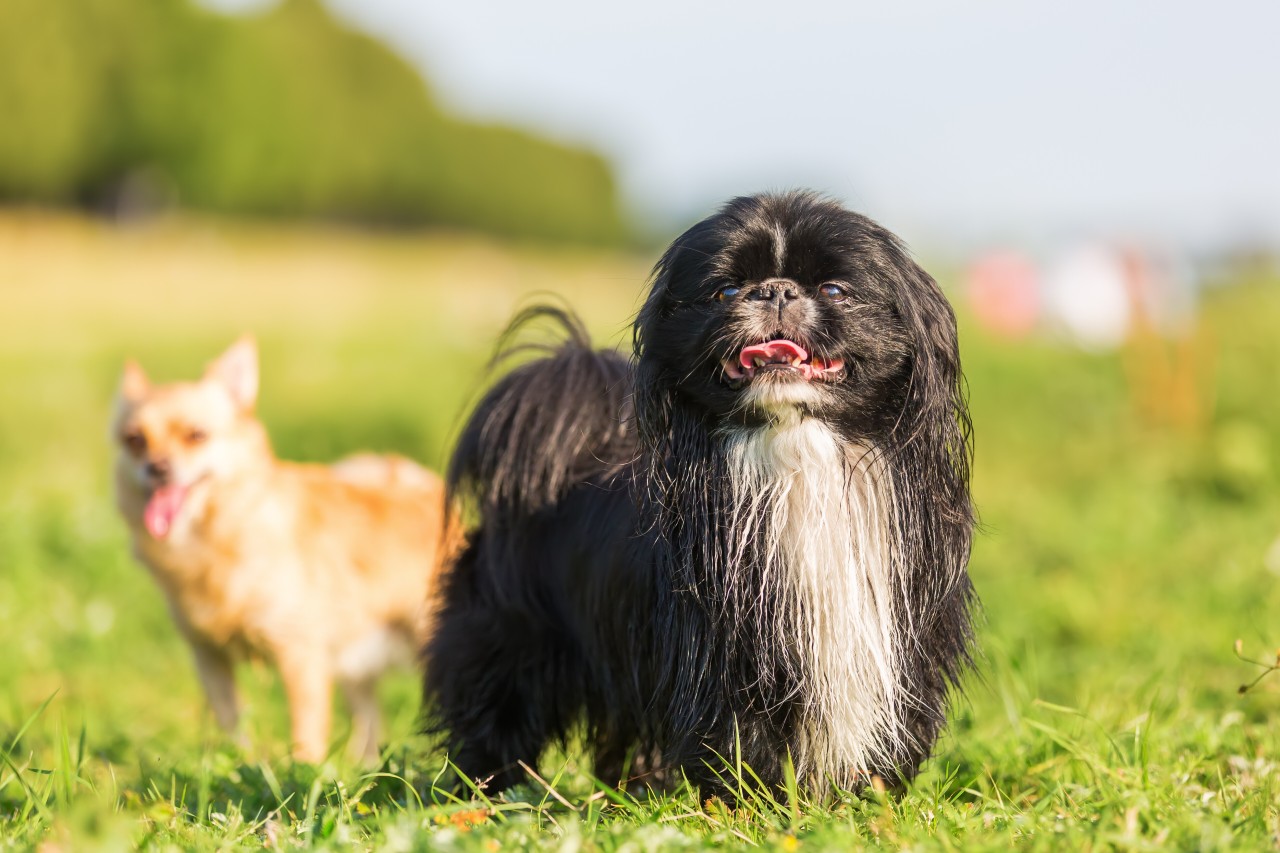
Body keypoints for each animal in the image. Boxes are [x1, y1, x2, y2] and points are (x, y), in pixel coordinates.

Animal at [113, 335, 455, 758]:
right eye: (134, 441)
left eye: (196, 435)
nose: (157, 467)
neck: (211, 538)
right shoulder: (208, 657)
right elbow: (232, 723)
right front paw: (240, 760)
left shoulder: (300, 656)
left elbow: (304, 735)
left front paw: (303, 771)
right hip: (356, 664)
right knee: (369, 721)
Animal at [424, 190, 972, 788]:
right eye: (726, 291)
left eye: (833, 290)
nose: (776, 290)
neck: (796, 452)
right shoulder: (725, 657)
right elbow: (743, 739)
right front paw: (759, 800)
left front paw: (868, 797)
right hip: (508, 646)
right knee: (494, 723)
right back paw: (485, 792)